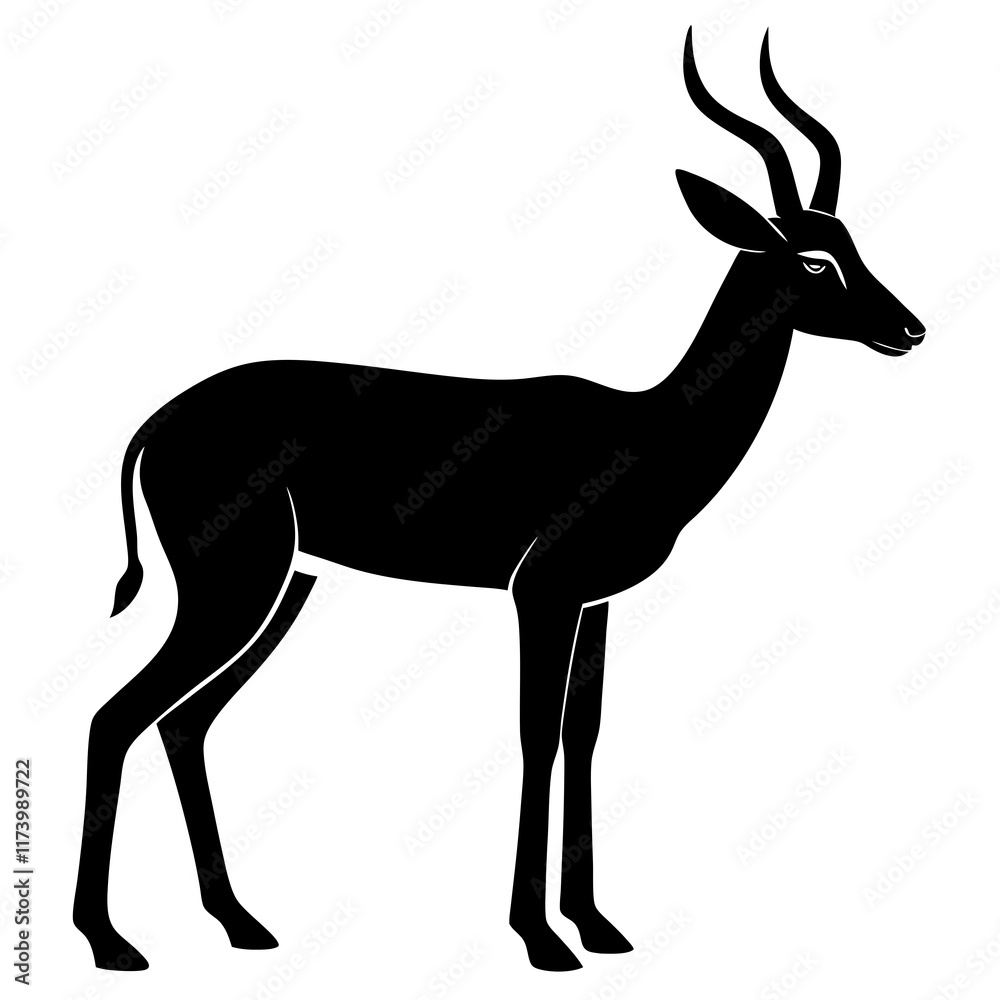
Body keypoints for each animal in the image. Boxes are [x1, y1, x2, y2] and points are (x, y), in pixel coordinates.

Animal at [72, 28, 925, 974]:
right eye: (813, 258)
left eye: (855, 241)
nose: (910, 329)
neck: (651, 427)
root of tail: (159, 421)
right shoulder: (540, 593)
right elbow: (535, 735)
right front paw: (541, 938)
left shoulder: (593, 602)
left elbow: (584, 735)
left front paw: (597, 926)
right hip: (234, 587)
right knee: (116, 716)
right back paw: (110, 942)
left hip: (286, 587)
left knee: (184, 724)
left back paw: (241, 923)